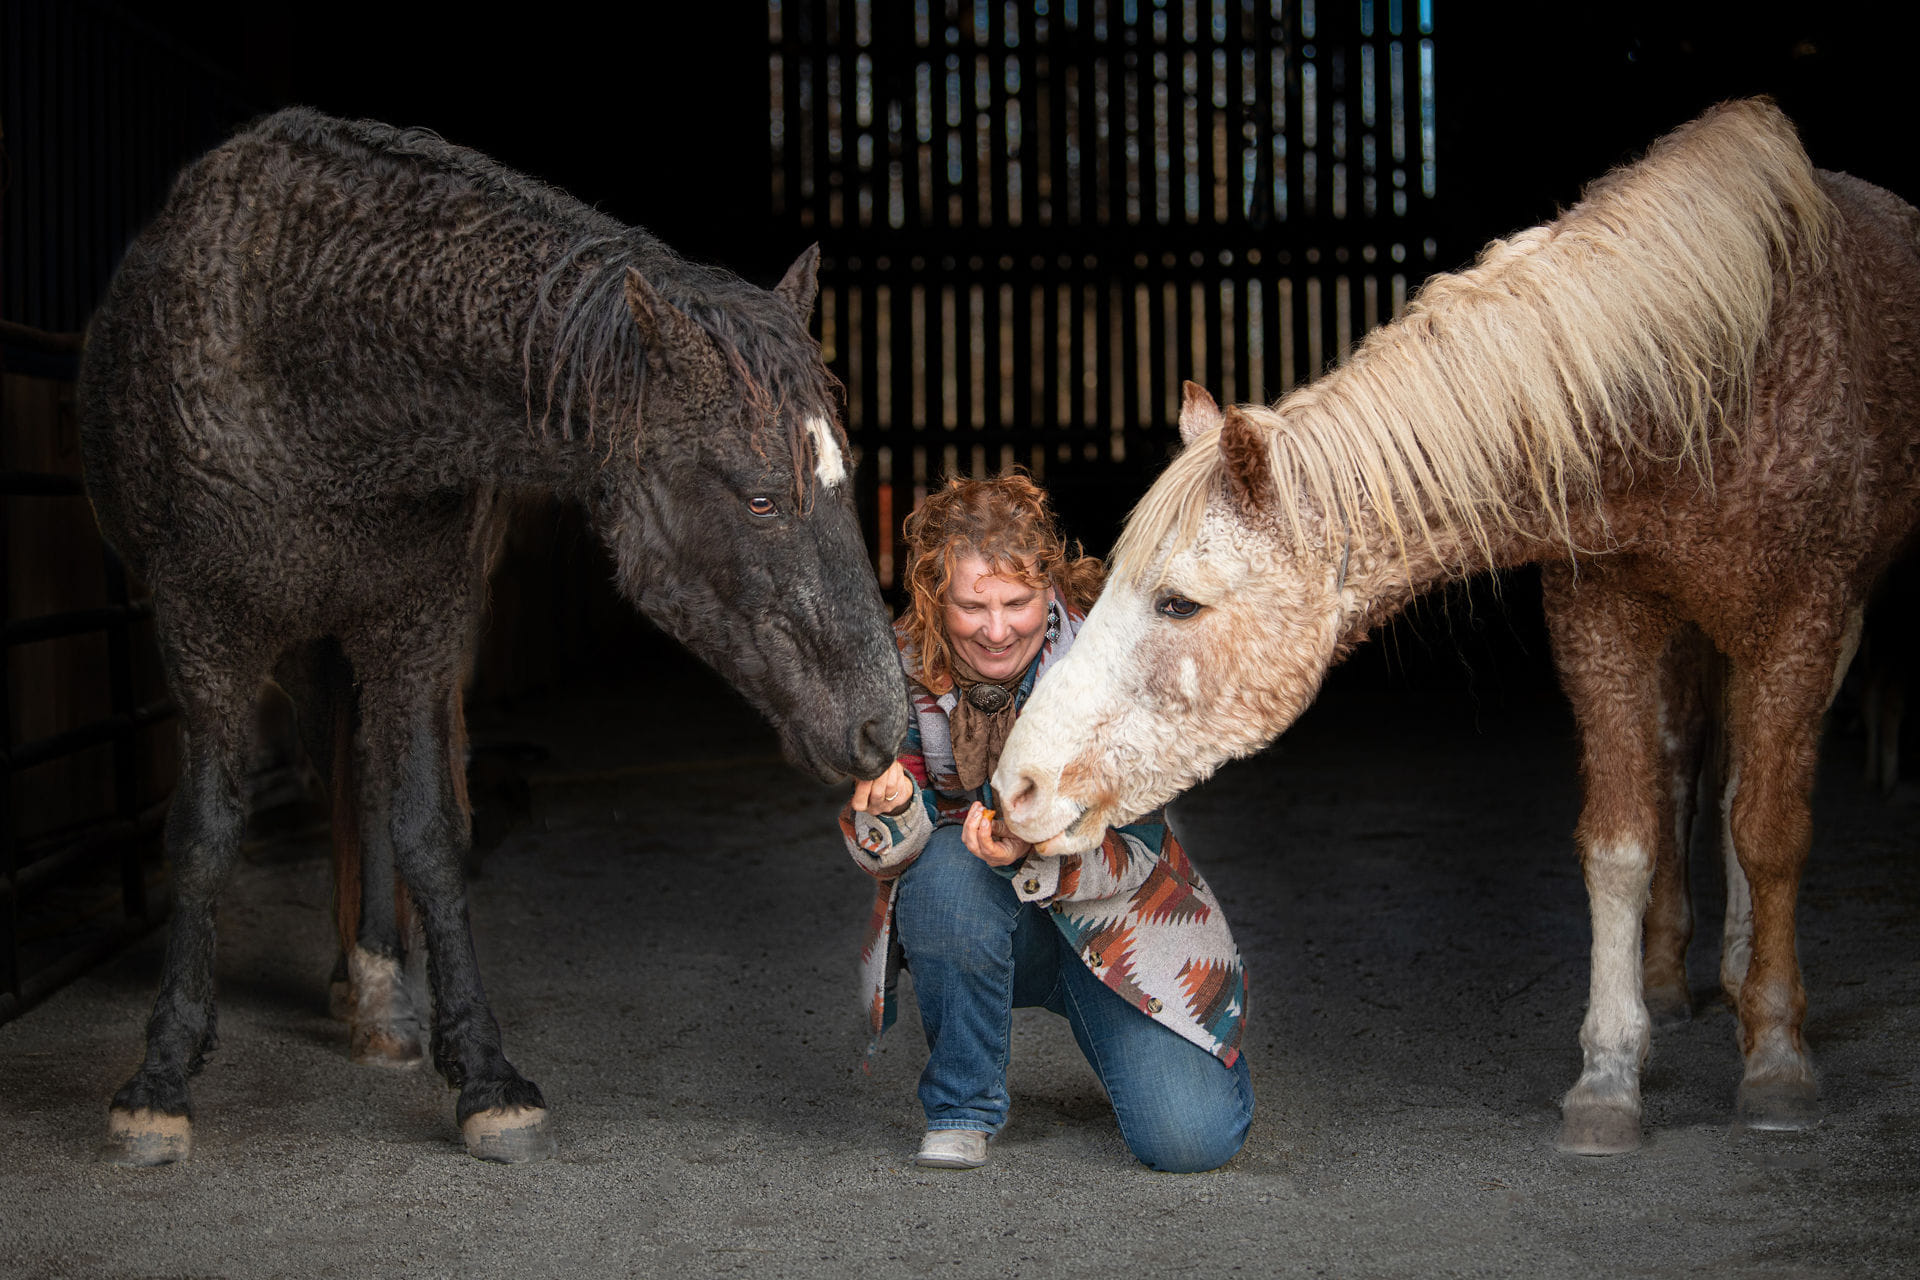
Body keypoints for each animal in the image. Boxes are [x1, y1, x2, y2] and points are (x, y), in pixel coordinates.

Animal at [78, 108, 909, 1165]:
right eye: (762, 499)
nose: (883, 727)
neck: (301, 359)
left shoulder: (417, 626)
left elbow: (430, 830)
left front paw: (481, 1074)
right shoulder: (202, 633)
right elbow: (201, 835)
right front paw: (160, 1077)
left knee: (366, 781)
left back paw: (377, 989)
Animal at [992, 99, 1920, 1155]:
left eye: (1179, 602)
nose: (1016, 787)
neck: (1705, 391)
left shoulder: (1806, 621)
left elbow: (1769, 835)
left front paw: (1775, 1061)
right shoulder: (1600, 624)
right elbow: (1621, 843)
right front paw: (1609, 1078)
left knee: (1740, 799)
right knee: (1688, 772)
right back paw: (1673, 980)